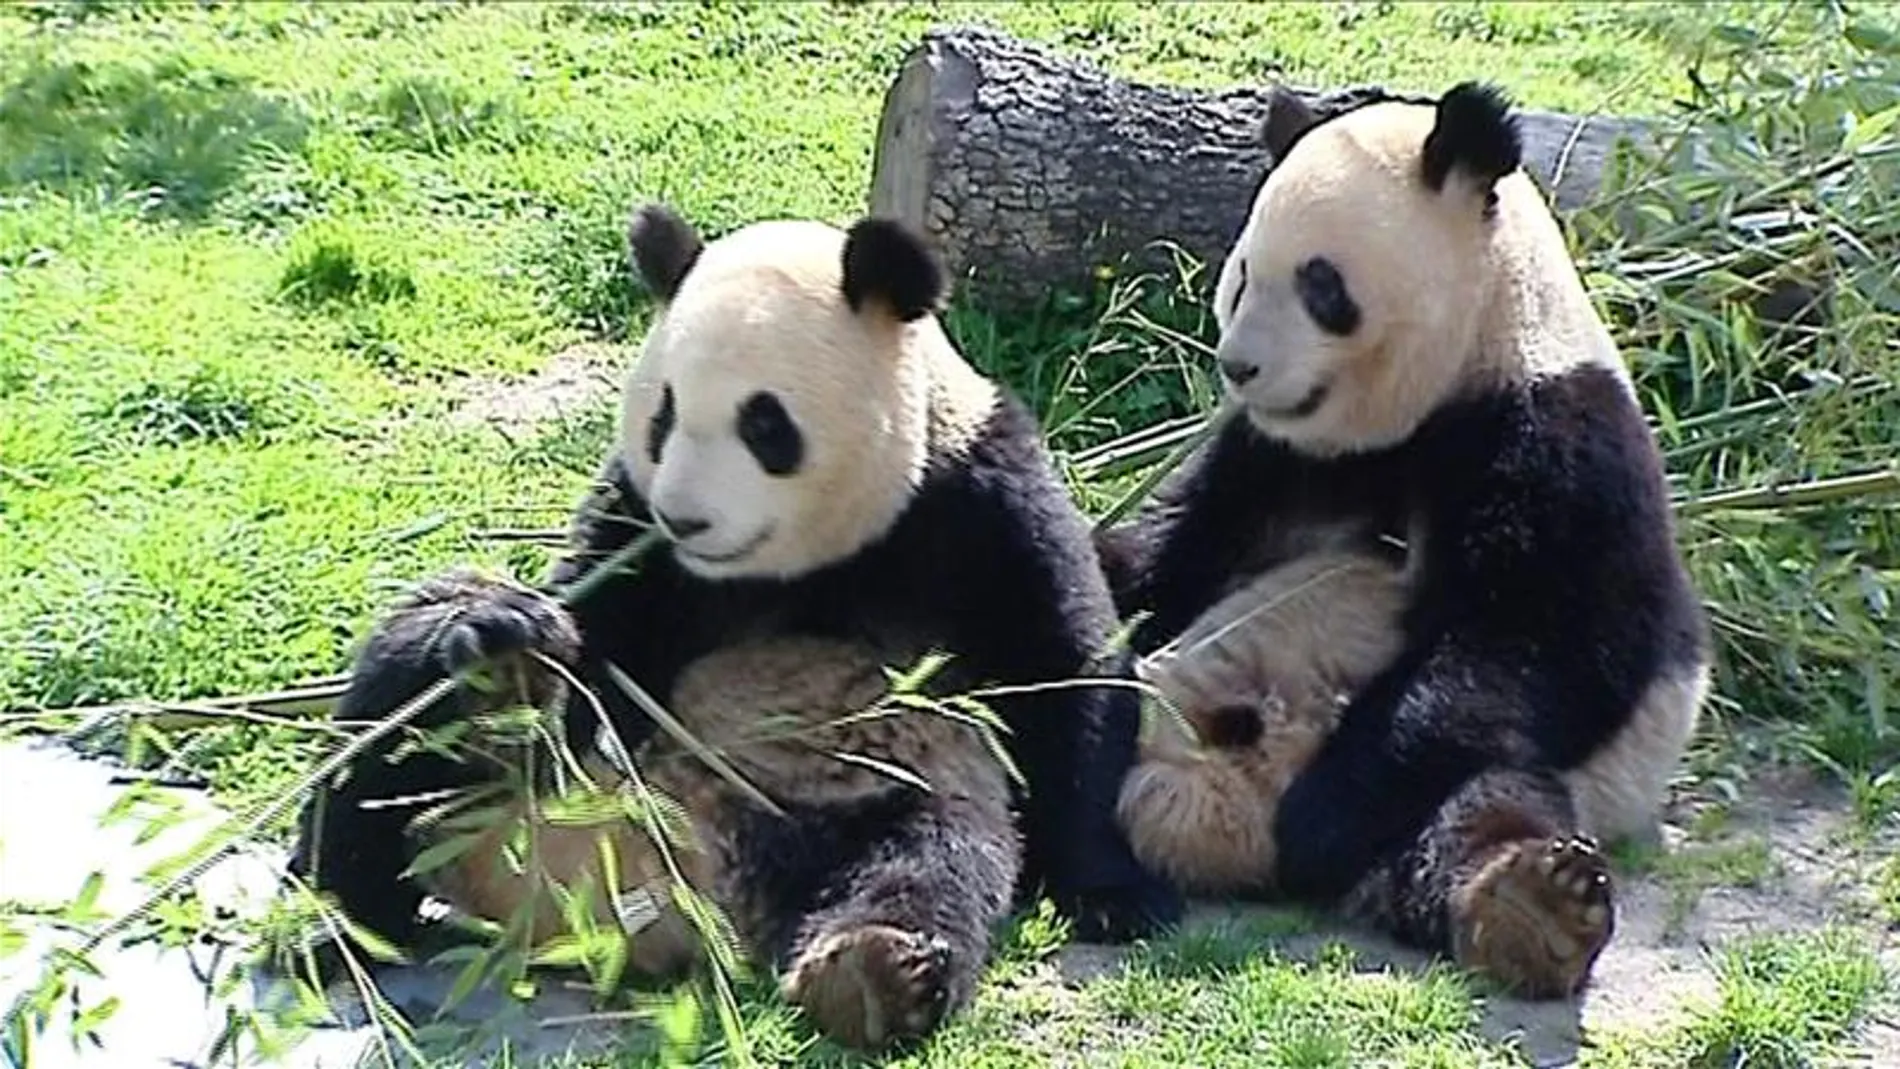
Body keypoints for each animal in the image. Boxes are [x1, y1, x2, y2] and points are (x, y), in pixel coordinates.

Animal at [284, 204, 1181, 1051]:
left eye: (764, 423)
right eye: (663, 415)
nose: (685, 518)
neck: (800, 565)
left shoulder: (977, 493)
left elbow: (1066, 668)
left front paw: (1112, 893)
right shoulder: (631, 519)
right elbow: (588, 640)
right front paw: (514, 638)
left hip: (861, 798)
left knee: (933, 856)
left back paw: (871, 972)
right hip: (514, 783)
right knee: (391, 732)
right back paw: (340, 909)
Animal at [1098, 81, 1712, 1000]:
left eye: (1319, 283)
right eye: (1241, 276)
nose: (1239, 366)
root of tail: (1214, 811)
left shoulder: (1557, 440)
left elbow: (1537, 643)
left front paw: (1320, 820)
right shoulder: (1269, 456)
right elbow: (1167, 555)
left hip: (1542, 777)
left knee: (1476, 807)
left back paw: (1533, 906)